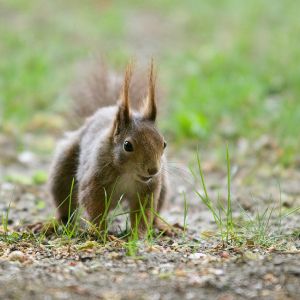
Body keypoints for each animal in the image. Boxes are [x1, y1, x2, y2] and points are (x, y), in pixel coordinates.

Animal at [48, 61, 175, 238]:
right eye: (127, 145)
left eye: (164, 144)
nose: (153, 170)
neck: (128, 174)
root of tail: (105, 109)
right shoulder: (94, 182)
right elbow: (94, 207)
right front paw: (101, 232)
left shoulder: (149, 188)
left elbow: (144, 213)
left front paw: (138, 235)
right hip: (62, 172)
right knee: (64, 208)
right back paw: (53, 224)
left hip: (163, 187)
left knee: (156, 213)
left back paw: (163, 226)